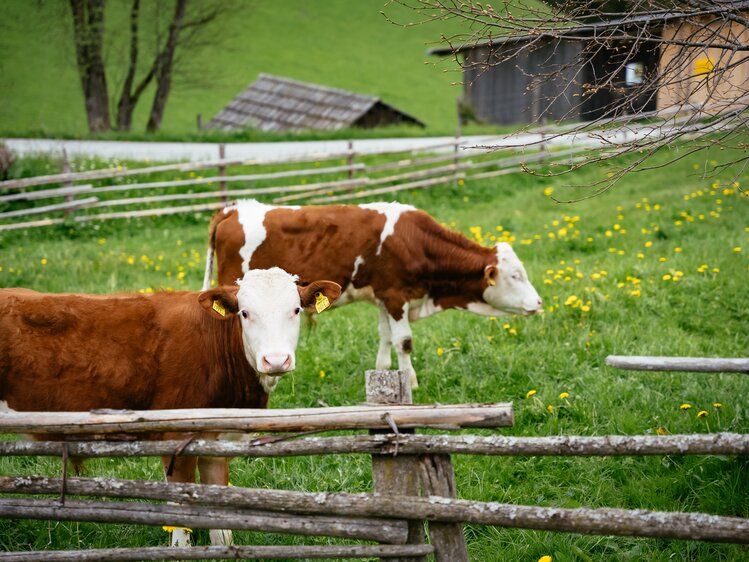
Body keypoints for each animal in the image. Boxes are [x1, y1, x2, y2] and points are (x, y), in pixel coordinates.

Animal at [0, 266, 338, 544]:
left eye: (295, 309)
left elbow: (222, 524)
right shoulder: (174, 437)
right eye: (244, 313)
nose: (276, 360)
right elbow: (179, 513)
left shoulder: (216, 442)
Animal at [205, 199, 540, 388]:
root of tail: (233, 208)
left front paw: (384, 372)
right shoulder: (396, 296)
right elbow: (404, 341)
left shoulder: (383, 297)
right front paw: (411, 381)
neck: (415, 241)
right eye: (515, 275)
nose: (538, 302)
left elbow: (385, 335)